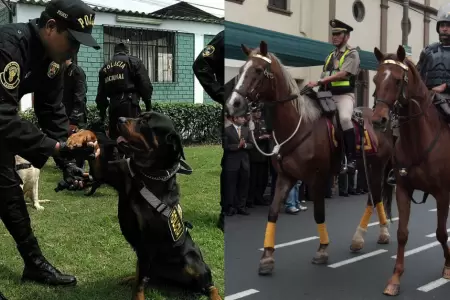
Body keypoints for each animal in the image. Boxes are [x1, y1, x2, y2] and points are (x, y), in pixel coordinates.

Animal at [67, 111, 221, 300]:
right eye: (139, 116)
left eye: (145, 122)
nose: (119, 120)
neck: (146, 174)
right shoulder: (105, 173)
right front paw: (79, 136)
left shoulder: (148, 242)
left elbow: (139, 286)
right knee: (146, 275)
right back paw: (129, 278)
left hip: (192, 260)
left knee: (209, 285)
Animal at [225, 41, 394, 276]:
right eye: (240, 70)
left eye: (258, 70)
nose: (233, 104)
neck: (300, 123)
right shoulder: (285, 177)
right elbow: (273, 212)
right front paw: (267, 257)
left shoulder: (317, 179)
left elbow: (318, 214)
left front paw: (322, 250)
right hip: (368, 169)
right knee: (374, 197)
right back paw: (359, 239)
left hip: (377, 167)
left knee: (376, 197)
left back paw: (381, 233)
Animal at [370, 45, 450, 296]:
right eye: (375, 79)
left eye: (397, 80)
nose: (378, 119)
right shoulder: (403, 190)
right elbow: (402, 234)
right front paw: (395, 279)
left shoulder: (443, 194)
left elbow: (441, 232)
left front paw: (447, 266)